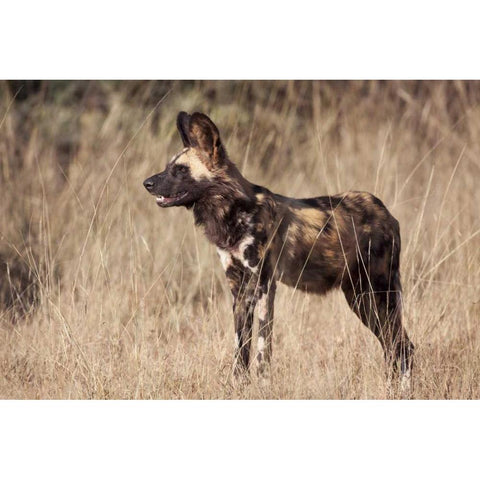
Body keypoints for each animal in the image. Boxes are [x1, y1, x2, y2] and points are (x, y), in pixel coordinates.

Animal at [142, 111, 412, 390]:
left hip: (377, 293)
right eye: (168, 167)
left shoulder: (263, 284)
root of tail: (386, 213)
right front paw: (239, 385)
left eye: (180, 170)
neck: (233, 212)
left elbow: (263, 347)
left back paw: (401, 391)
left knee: (401, 345)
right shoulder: (238, 289)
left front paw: (262, 385)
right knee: (394, 345)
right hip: (361, 299)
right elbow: (241, 347)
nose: (147, 183)